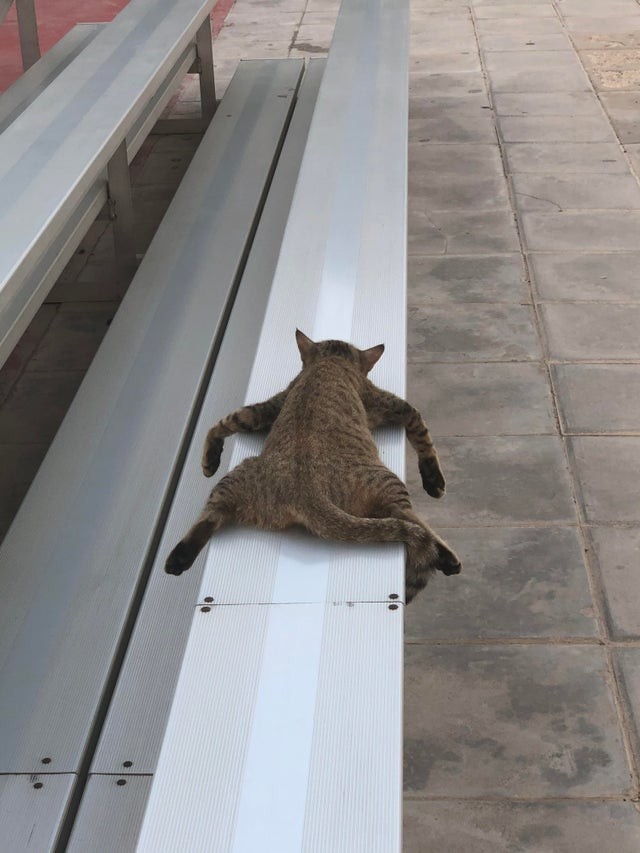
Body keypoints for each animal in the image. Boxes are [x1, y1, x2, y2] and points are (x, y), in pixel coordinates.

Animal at [165, 326, 460, 600]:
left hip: (235, 479)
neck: (331, 360)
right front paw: (433, 479)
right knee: (409, 517)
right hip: (386, 482)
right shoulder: (393, 405)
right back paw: (446, 556)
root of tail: (308, 492)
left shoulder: (266, 410)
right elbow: (423, 436)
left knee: (211, 514)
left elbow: (228, 420)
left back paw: (178, 559)